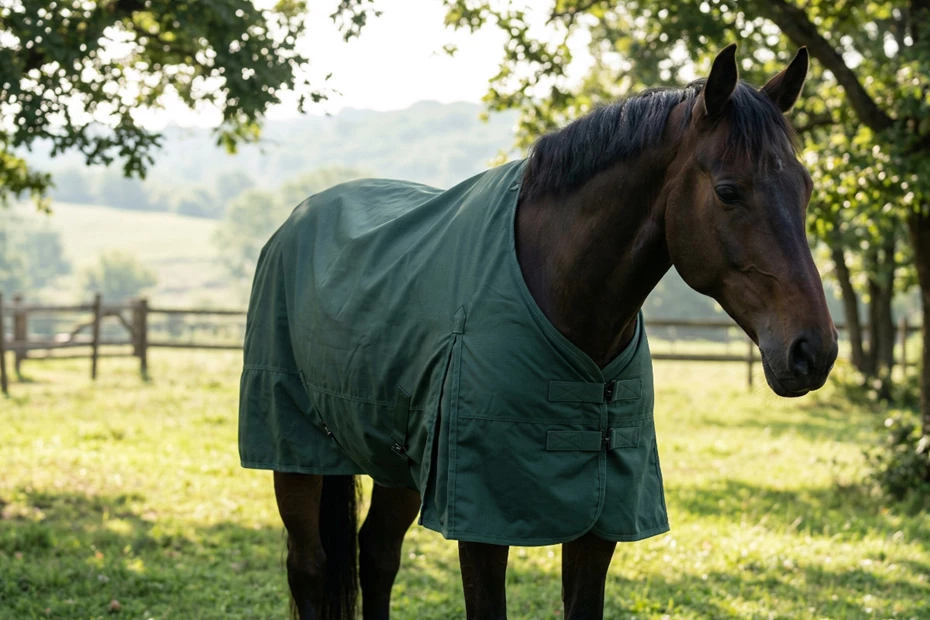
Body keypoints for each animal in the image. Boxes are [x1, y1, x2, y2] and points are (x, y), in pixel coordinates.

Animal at [239, 43, 838, 619]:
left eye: (806, 187)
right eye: (729, 191)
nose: (814, 351)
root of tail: (300, 217)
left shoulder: (602, 520)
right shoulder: (481, 519)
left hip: (395, 458)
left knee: (378, 555)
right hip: (294, 454)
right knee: (310, 567)